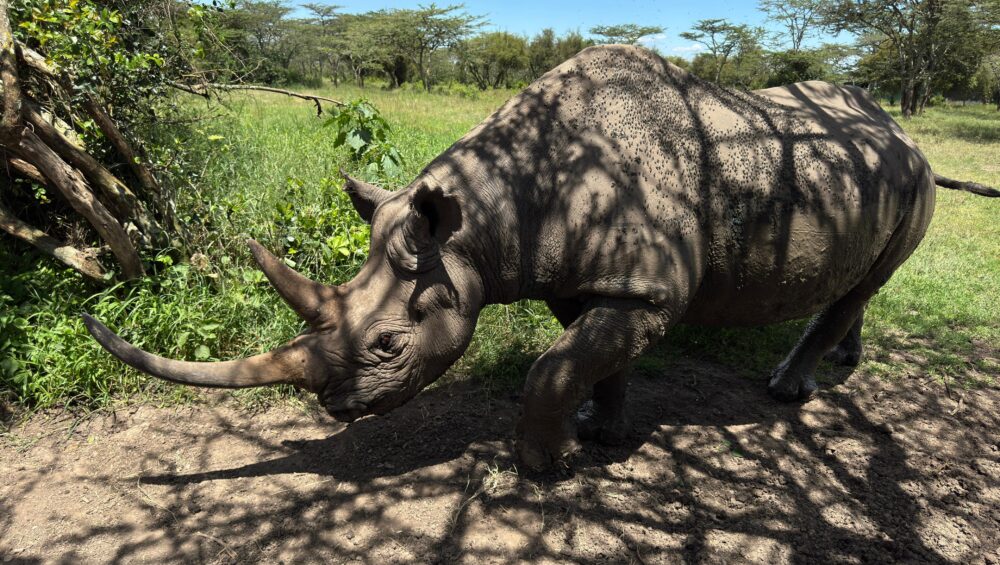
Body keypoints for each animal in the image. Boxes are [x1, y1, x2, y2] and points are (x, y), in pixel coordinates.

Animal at [84, 46, 997, 471]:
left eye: (386, 344)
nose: (338, 409)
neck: (481, 222)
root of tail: (904, 130)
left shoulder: (647, 288)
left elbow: (553, 365)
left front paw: (546, 468)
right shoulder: (584, 276)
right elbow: (589, 359)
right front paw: (600, 433)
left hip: (916, 178)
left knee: (869, 278)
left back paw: (788, 389)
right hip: (872, 172)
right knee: (861, 280)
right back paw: (842, 360)